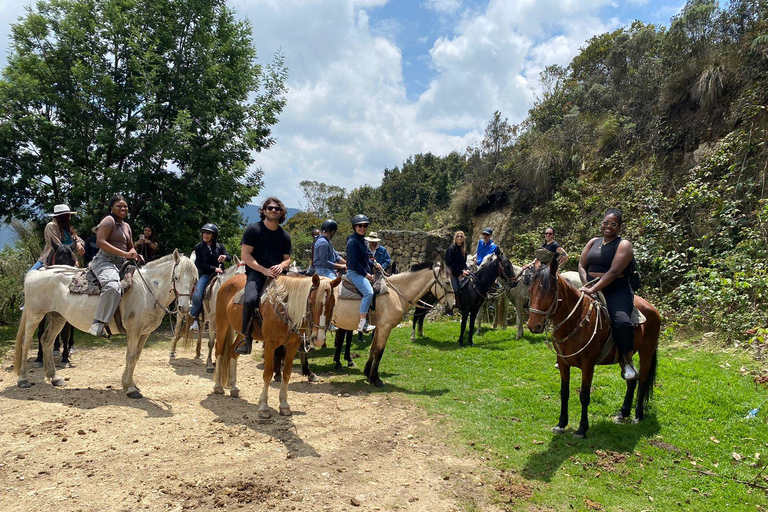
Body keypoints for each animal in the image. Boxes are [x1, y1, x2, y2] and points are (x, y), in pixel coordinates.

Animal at [14, 250, 198, 398]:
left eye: (195, 280)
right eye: (176, 277)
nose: (184, 307)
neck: (148, 290)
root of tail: (34, 274)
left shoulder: (145, 333)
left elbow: (136, 357)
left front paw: (129, 383)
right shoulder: (133, 331)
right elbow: (131, 357)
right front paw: (130, 388)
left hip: (57, 317)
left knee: (46, 341)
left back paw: (54, 378)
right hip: (35, 315)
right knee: (26, 342)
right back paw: (23, 379)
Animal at [212, 274, 340, 418]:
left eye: (332, 305)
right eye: (312, 303)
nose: (318, 340)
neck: (286, 308)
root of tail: (227, 281)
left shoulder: (293, 345)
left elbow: (287, 373)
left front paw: (284, 405)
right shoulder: (270, 344)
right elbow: (267, 373)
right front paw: (263, 407)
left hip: (242, 333)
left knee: (233, 352)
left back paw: (233, 387)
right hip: (222, 324)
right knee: (219, 351)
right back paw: (218, 386)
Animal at [524, 258, 664, 438]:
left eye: (551, 290)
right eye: (530, 289)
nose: (533, 325)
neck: (576, 320)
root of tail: (653, 309)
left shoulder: (588, 365)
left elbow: (584, 396)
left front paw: (582, 428)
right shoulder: (563, 363)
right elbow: (564, 393)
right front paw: (561, 424)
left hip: (646, 352)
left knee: (643, 380)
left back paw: (638, 415)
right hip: (625, 355)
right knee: (632, 379)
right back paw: (623, 413)